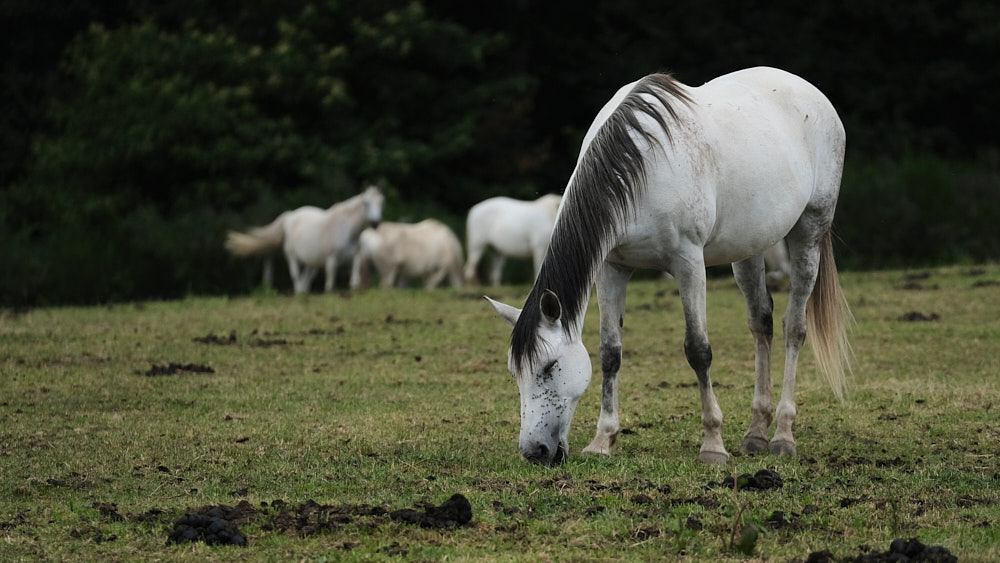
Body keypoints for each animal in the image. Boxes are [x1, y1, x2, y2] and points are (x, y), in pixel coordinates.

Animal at [227, 187, 382, 298]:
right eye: (366, 203)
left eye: (381, 202)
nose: (375, 223)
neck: (349, 228)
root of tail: (289, 215)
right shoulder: (331, 258)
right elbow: (330, 282)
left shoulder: (354, 254)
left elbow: (354, 274)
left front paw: (354, 288)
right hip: (292, 256)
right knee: (296, 276)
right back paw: (299, 295)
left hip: (311, 261)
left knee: (305, 281)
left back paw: (304, 294)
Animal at [484, 67, 852, 468]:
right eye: (515, 372)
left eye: (550, 366)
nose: (535, 452)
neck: (638, 171)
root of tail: (810, 91)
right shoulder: (612, 268)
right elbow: (610, 352)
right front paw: (603, 440)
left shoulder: (688, 263)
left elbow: (698, 350)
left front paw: (712, 444)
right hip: (749, 246)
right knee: (761, 323)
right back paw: (755, 433)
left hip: (810, 229)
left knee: (794, 328)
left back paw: (783, 434)